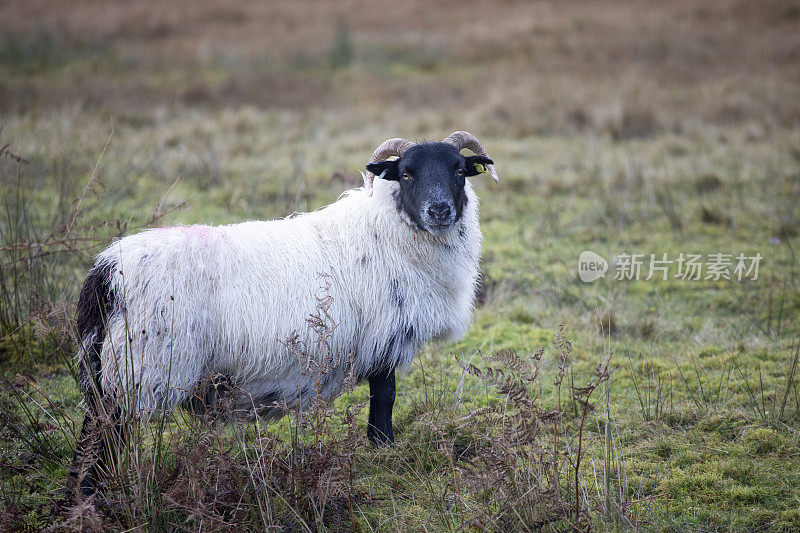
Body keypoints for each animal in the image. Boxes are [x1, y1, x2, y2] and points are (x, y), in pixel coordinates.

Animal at [67, 131, 494, 496]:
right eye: (406, 173)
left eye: (459, 169)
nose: (439, 211)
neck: (384, 231)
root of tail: (105, 274)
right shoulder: (385, 339)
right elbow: (385, 397)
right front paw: (383, 448)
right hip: (139, 365)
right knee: (102, 431)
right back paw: (90, 493)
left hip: (111, 366)